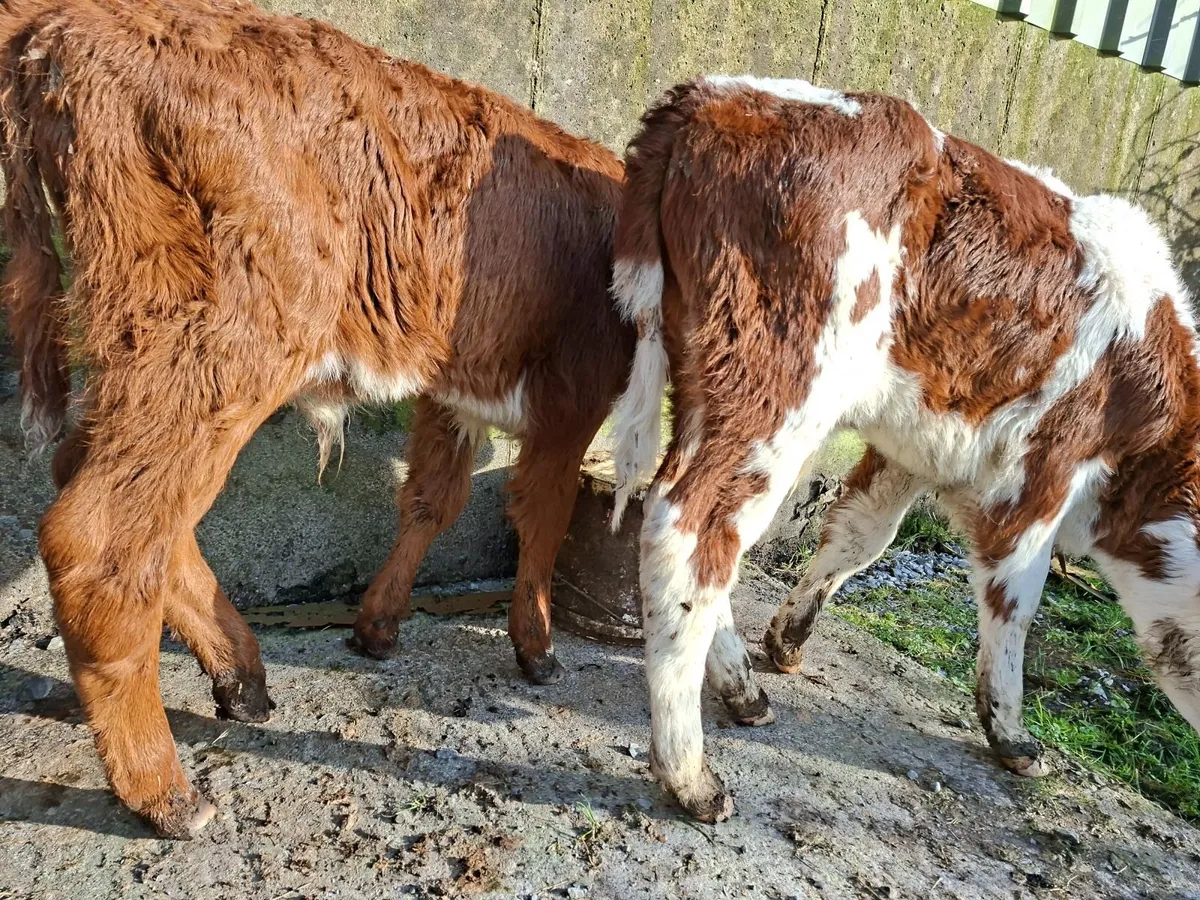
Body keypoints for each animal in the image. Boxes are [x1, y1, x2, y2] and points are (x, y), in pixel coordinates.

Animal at [0, 0, 634, 837]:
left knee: (121, 496)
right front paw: (536, 647)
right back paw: (162, 790)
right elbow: (543, 513)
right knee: (102, 533)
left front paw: (376, 627)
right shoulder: (573, 396)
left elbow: (433, 499)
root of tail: (71, 23)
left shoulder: (451, 390)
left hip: (146, 351)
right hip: (223, 344)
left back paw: (240, 678)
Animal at [608, 75, 1200, 823]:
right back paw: (689, 772)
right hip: (775, 390)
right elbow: (1016, 597)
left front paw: (788, 639)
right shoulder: (1042, 473)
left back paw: (743, 689)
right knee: (688, 529)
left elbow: (860, 535)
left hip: (703, 374)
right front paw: (1010, 732)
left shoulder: (914, 452)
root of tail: (710, 97)